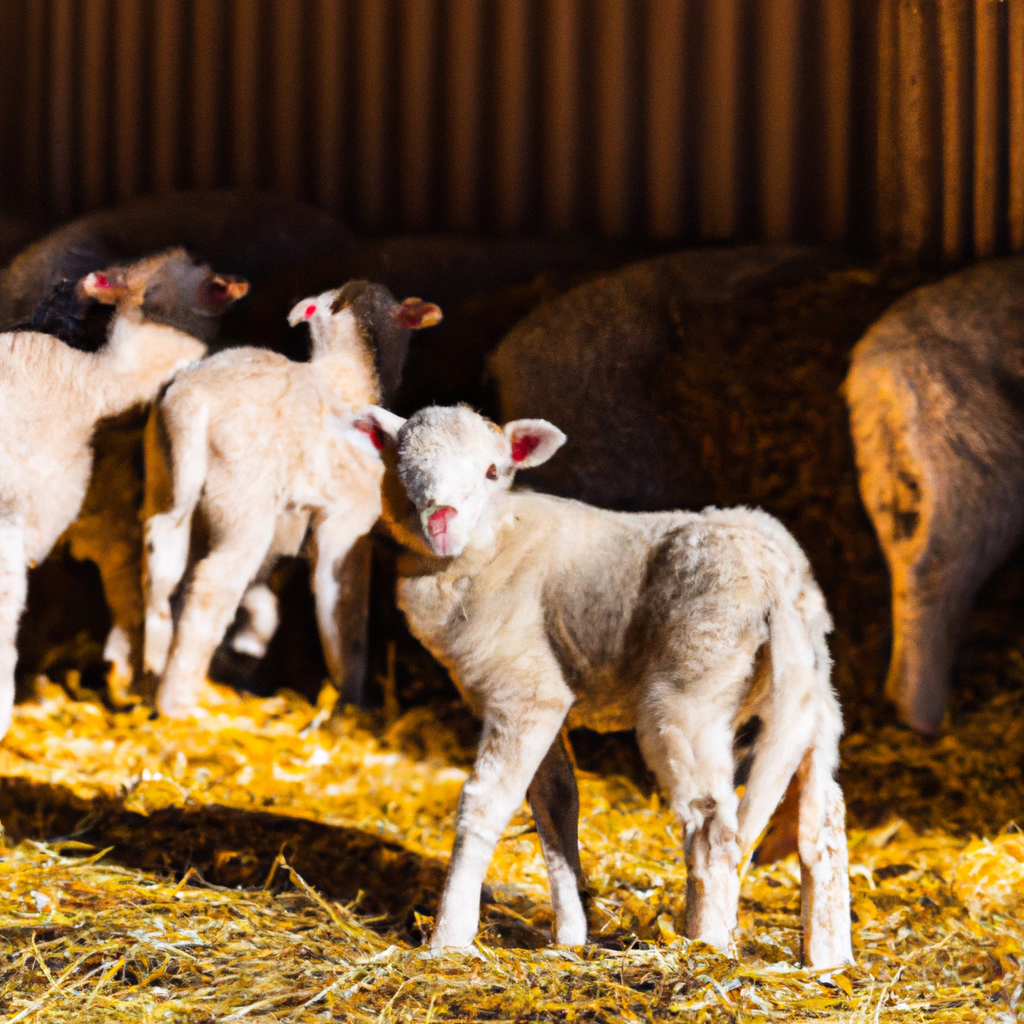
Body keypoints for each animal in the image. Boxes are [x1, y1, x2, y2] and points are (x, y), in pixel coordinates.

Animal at [140, 280, 436, 720]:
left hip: (166, 478)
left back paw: (148, 677)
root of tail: (191, 402)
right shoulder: (348, 522)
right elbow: (344, 608)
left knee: (163, 565)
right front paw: (350, 703)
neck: (349, 372)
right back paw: (177, 704)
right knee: (214, 583)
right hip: (245, 501)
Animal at [366, 401, 847, 966]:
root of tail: (777, 577)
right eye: (402, 472)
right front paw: (572, 935)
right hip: (809, 692)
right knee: (823, 819)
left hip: (692, 688)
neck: (491, 544)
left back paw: (705, 945)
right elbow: (556, 807)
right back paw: (827, 956)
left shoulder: (523, 689)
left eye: (491, 471)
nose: (440, 520)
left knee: (712, 824)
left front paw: (449, 937)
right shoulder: (544, 700)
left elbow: (484, 803)